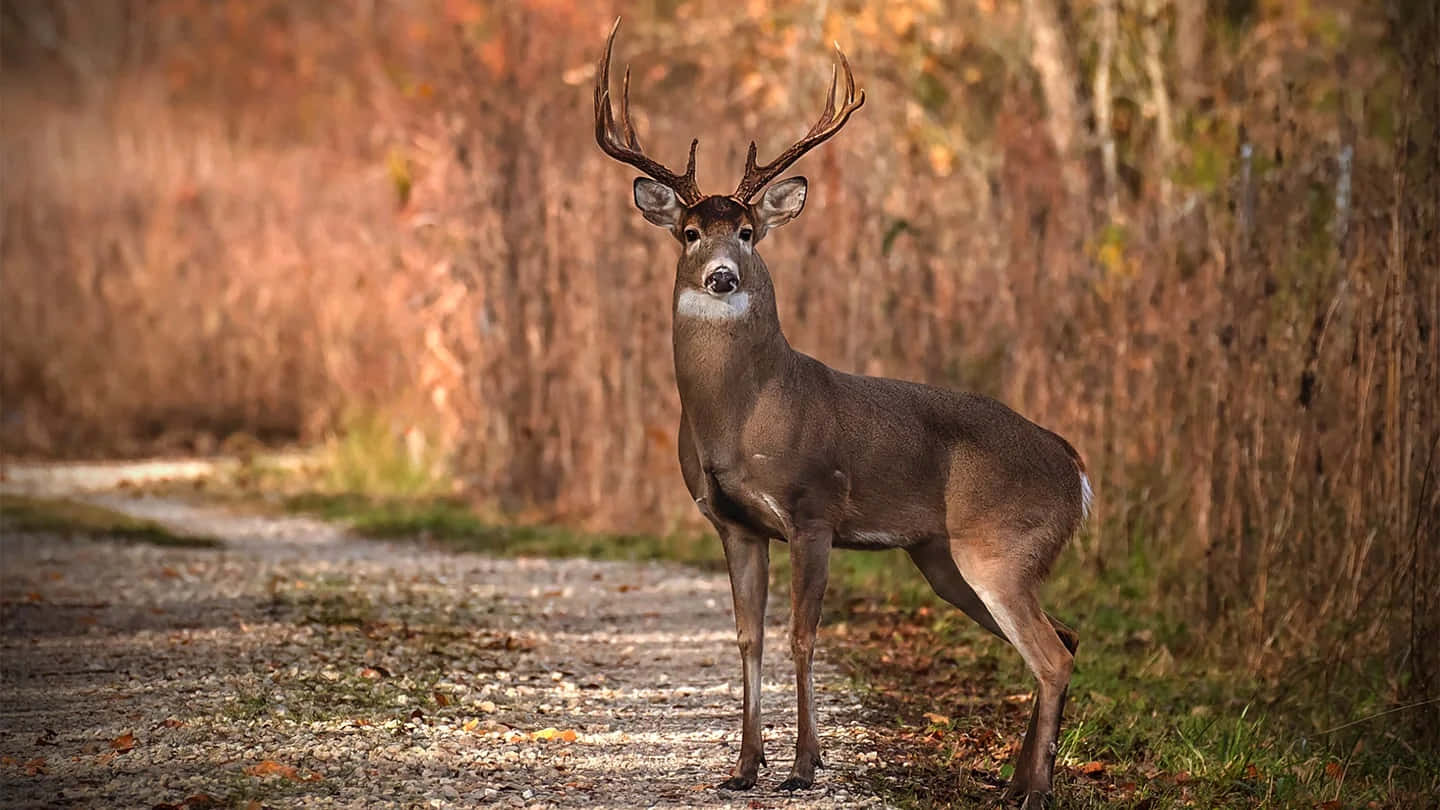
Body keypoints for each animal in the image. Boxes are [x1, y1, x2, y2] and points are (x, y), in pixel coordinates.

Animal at [593, 20, 1090, 808]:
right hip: (945, 557)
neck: (740, 415)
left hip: (1004, 544)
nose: (722, 278)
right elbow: (749, 639)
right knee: (1065, 639)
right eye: (690, 233)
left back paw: (1033, 791)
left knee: (1052, 655)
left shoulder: (813, 507)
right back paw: (1018, 780)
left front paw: (804, 765)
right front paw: (743, 768)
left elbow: (803, 637)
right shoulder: (733, 522)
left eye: (748, 233)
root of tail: (1074, 467)